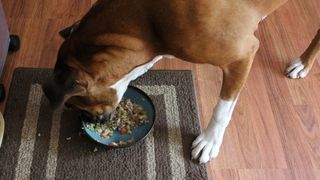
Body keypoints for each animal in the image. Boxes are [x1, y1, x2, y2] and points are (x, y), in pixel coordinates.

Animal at [43, 0, 320, 163]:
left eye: (72, 105)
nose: (87, 120)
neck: (146, 22)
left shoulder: (243, 55)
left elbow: (222, 109)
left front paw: (209, 141)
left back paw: (303, 63)